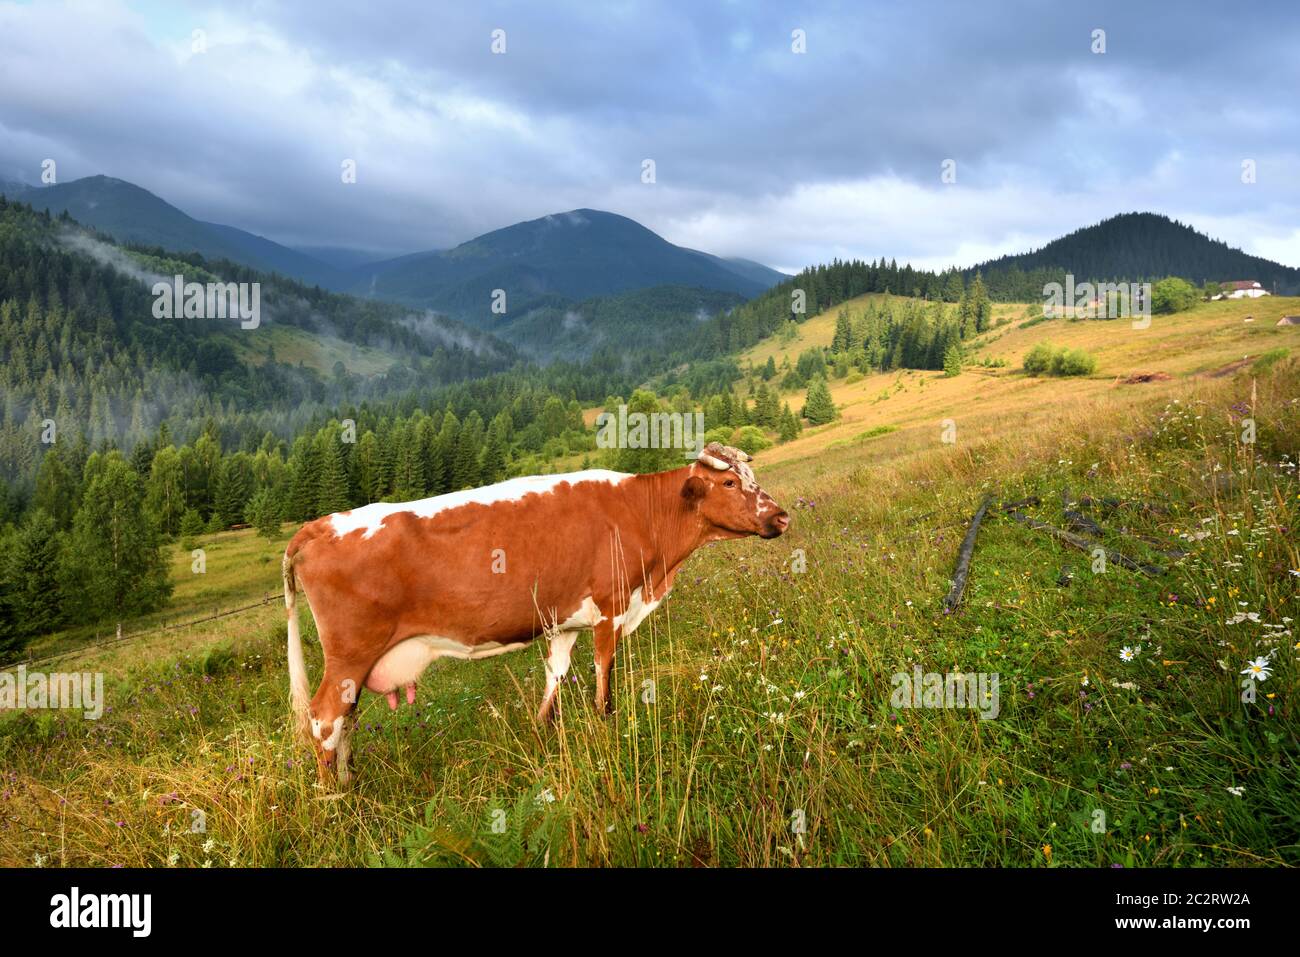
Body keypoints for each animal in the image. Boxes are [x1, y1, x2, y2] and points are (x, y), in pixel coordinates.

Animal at [282, 441, 789, 784]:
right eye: (729, 482)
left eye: (750, 477)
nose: (781, 516)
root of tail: (317, 525)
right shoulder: (610, 609)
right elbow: (603, 676)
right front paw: (607, 725)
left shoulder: (563, 619)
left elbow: (556, 676)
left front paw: (543, 732)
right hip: (350, 654)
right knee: (325, 719)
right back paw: (336, 795)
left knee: (344, 722)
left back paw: (348, 778)